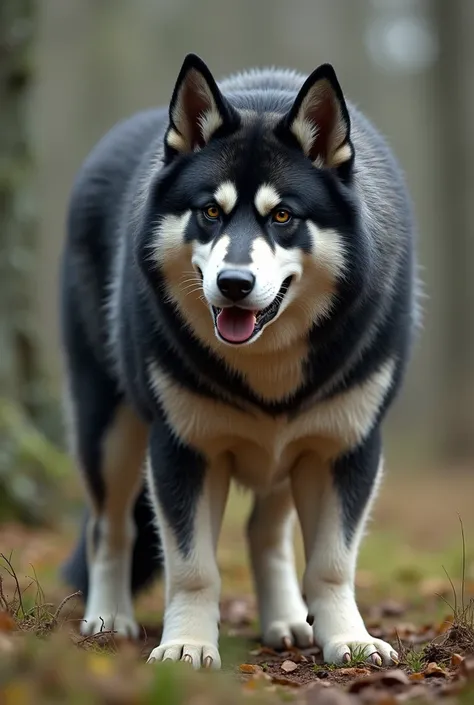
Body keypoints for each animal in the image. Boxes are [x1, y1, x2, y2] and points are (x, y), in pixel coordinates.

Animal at [60, 53, 418, 664]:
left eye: (283, 217)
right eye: (209, 211)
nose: (233, 283)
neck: (266, 360)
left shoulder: (345, 445)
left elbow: (332, 563)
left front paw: (348, 638)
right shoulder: (183, 447)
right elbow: (193, 567)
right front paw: (186, 646)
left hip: (286, 446)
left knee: (264, 532)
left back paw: (287, 621)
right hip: (107, 427)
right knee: (109, 528)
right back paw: (108, 618)